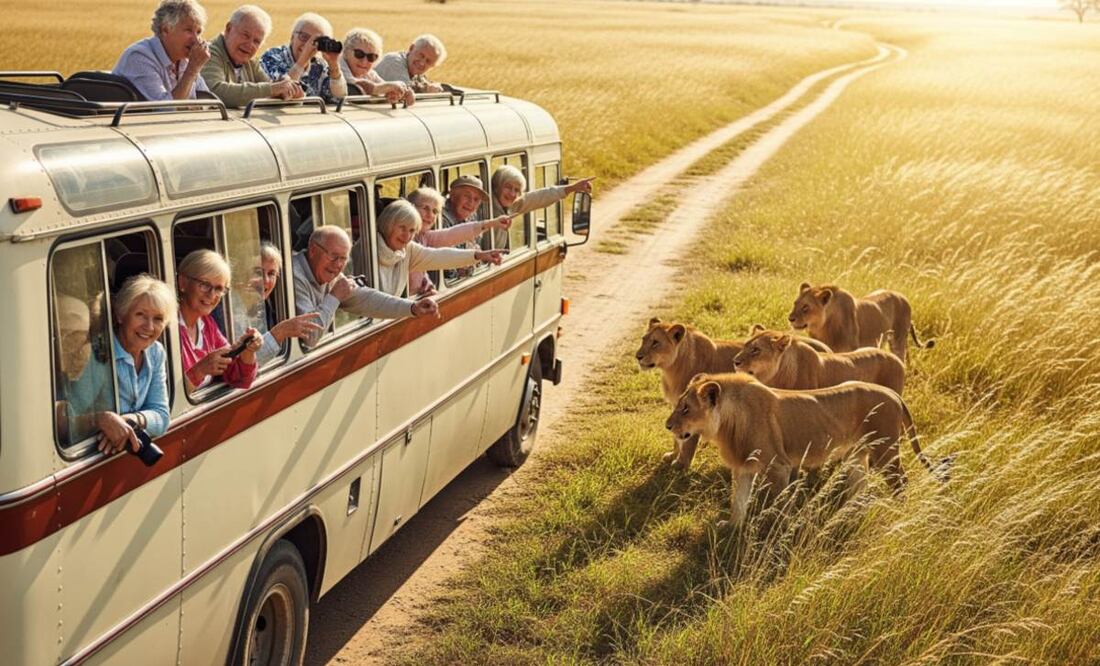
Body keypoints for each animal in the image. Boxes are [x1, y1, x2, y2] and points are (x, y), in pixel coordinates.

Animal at [636, 319, 831, 470]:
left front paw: (680, 465)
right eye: (643, 340)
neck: (672, 368)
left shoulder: (697, 407)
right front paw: (673, 454)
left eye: (655, 343)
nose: (638, 356)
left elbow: (687, 440)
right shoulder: (678, 406)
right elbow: (677, 436)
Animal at [665, 373, 944, 527]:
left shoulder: (778, 466)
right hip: (857, 455)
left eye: (686, 409)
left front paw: (781, 531)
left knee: (901, 482)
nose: (667, 426)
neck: (726, 424)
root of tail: (893, 393)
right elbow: (739, 500)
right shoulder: (743, 466)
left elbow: (781, 504)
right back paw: (852, 513)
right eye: (679, 405)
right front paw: (732, 526)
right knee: (861, 486)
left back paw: (900, 513)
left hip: (885, 450)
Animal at [788, 283, 934, 361]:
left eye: (805, 307)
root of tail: (902, 296)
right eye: (795, 303)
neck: (824, 328)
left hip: (898, 341)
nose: (790, 318)